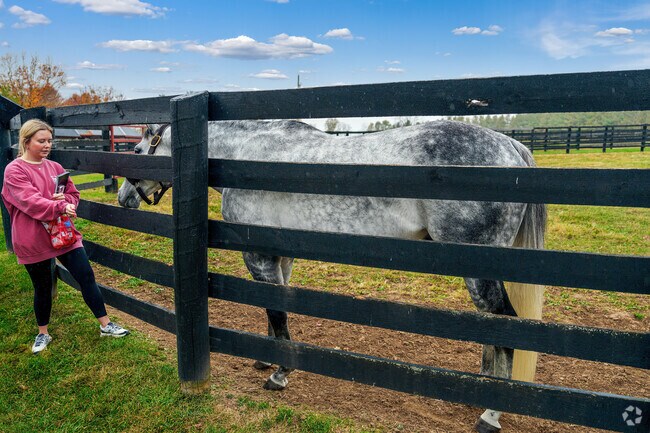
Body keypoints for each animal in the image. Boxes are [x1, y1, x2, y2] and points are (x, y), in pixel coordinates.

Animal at [117, 119, 546, 433]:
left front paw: (280, 375)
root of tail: (511, 147)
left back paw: (490, 414)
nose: (123, 198)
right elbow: (275, 308)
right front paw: (266, 360)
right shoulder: (280, 254)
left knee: (504, 326)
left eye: (138, 151)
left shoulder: (258, 256)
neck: (248, 157)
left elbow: (276, 311)